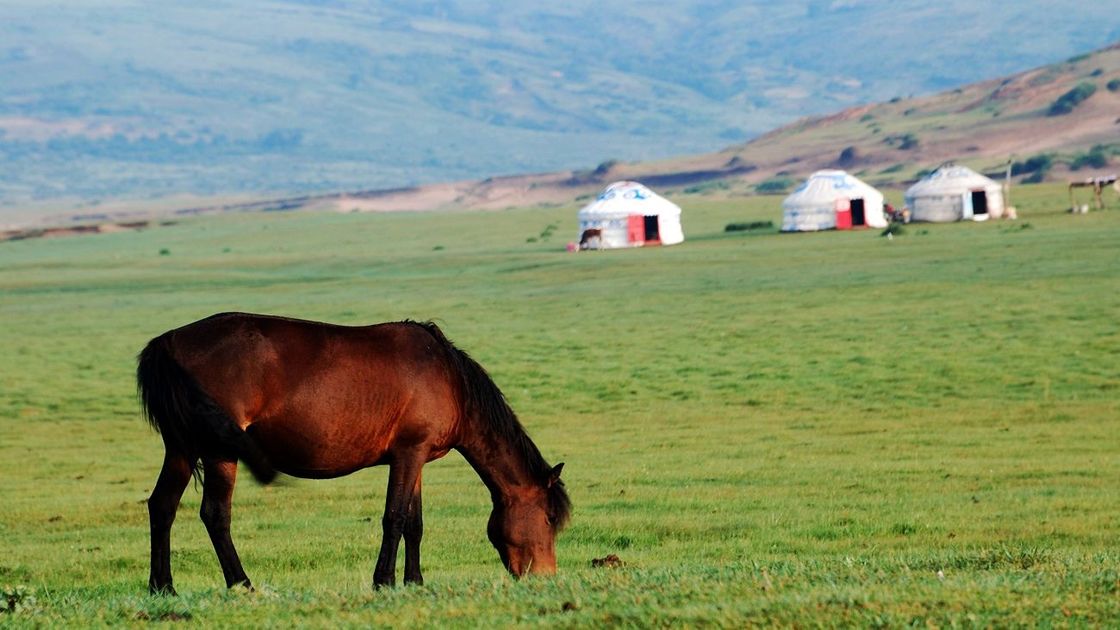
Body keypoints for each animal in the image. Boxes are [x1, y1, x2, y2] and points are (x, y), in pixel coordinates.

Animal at [137, 312, 570, 594]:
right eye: (550, 519)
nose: (546, 577)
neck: (449, 378)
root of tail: (168, 343)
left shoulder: (415, 458)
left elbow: (414, 523)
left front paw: (414, 582)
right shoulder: (409, 454)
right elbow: (394, 518)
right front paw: (385, 582)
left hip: (182, 448)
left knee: (162, 507)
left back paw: (163, 587)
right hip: (217, 452)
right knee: (215, 514)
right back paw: (241, 583)